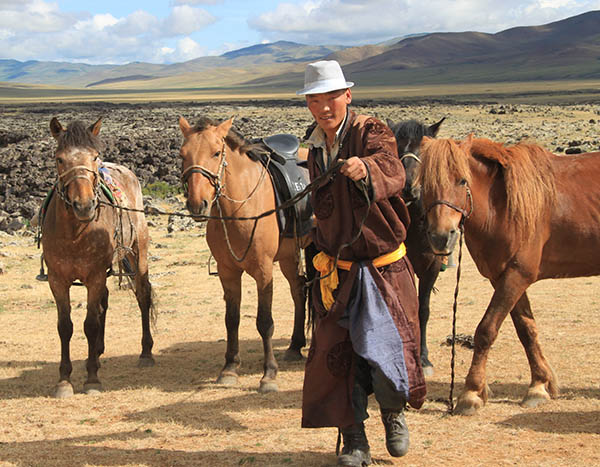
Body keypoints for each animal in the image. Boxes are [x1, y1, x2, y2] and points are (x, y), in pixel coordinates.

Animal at [41, 117, 155, 398]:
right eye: (60, 159)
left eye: (94, 157)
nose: (84, 206)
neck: (74, 232)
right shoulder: (57, 280)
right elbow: (65, 326)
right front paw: (64, 380)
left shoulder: (94, 277)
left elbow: (90, 324)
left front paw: (92, 379)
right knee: (104, 301)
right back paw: (98, 352)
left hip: (138, 254)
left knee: (143, 295)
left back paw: (146, 353)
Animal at [177, 115, 310, 394]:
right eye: (182, 154)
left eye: (216, 153)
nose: (197, 204)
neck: (239, 208)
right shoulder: (227, 273)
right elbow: (232, 319)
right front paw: (229, 368)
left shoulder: (264, 271)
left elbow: (264, 322)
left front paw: (269, 375)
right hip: (288, 258)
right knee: (299, 291)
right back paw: (294, 346)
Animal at [414, 133, 600, 414]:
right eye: (425, 183)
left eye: (462, 180)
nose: (441, 236)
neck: (502, 207)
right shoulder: (503, 277)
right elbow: (526, 330)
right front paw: (539, 386)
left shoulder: (517, 275)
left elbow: (486, 330)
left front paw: (471, 393)